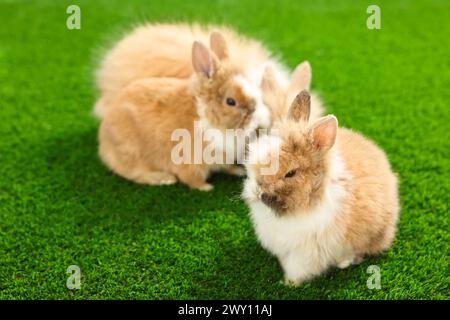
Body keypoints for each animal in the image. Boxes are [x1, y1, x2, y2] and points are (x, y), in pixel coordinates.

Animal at [98, 39, 270, 190]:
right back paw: (165, 179)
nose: (255, 113)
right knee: (134, 172)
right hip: (131, 152)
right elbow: (192, 178)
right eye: (230, 101)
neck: (207, 116)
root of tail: (103, 142)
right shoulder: (190, 161)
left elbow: (226, 167)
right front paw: (206, 187)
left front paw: (237, 171)